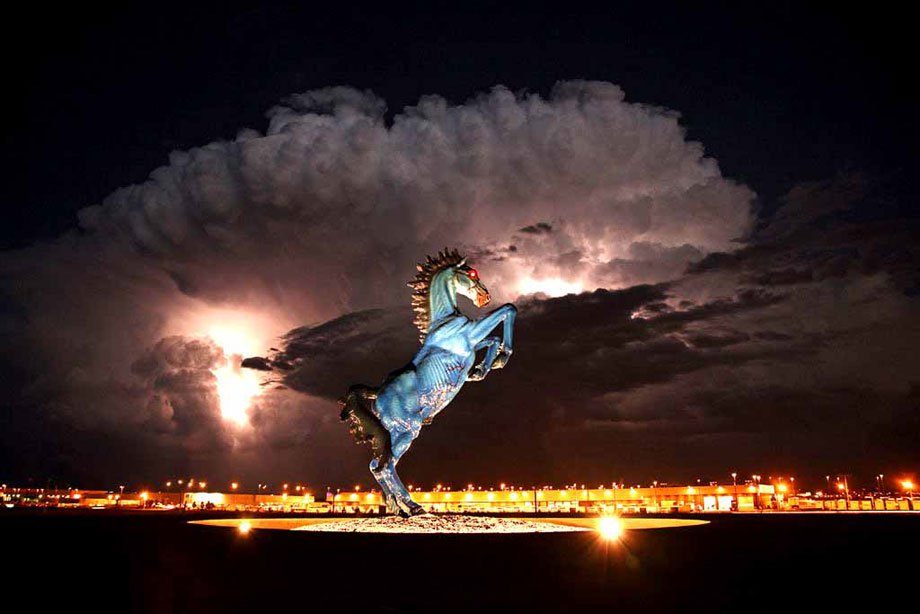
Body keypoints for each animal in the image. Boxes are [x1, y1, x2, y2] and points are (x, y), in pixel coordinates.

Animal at [340, 248, 512, 516]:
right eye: (472, 273)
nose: (485, 297)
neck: (444, 321)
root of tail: (377, 393)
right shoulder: (470, 335)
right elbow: (507, 310)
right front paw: (501, 358)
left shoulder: (472, 343)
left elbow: (492, 339)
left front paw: (483, 369)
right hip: (407, 430)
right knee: (385, 467)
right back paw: (413, 506)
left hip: (393, 434)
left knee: (376, 465)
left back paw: (397, 506)